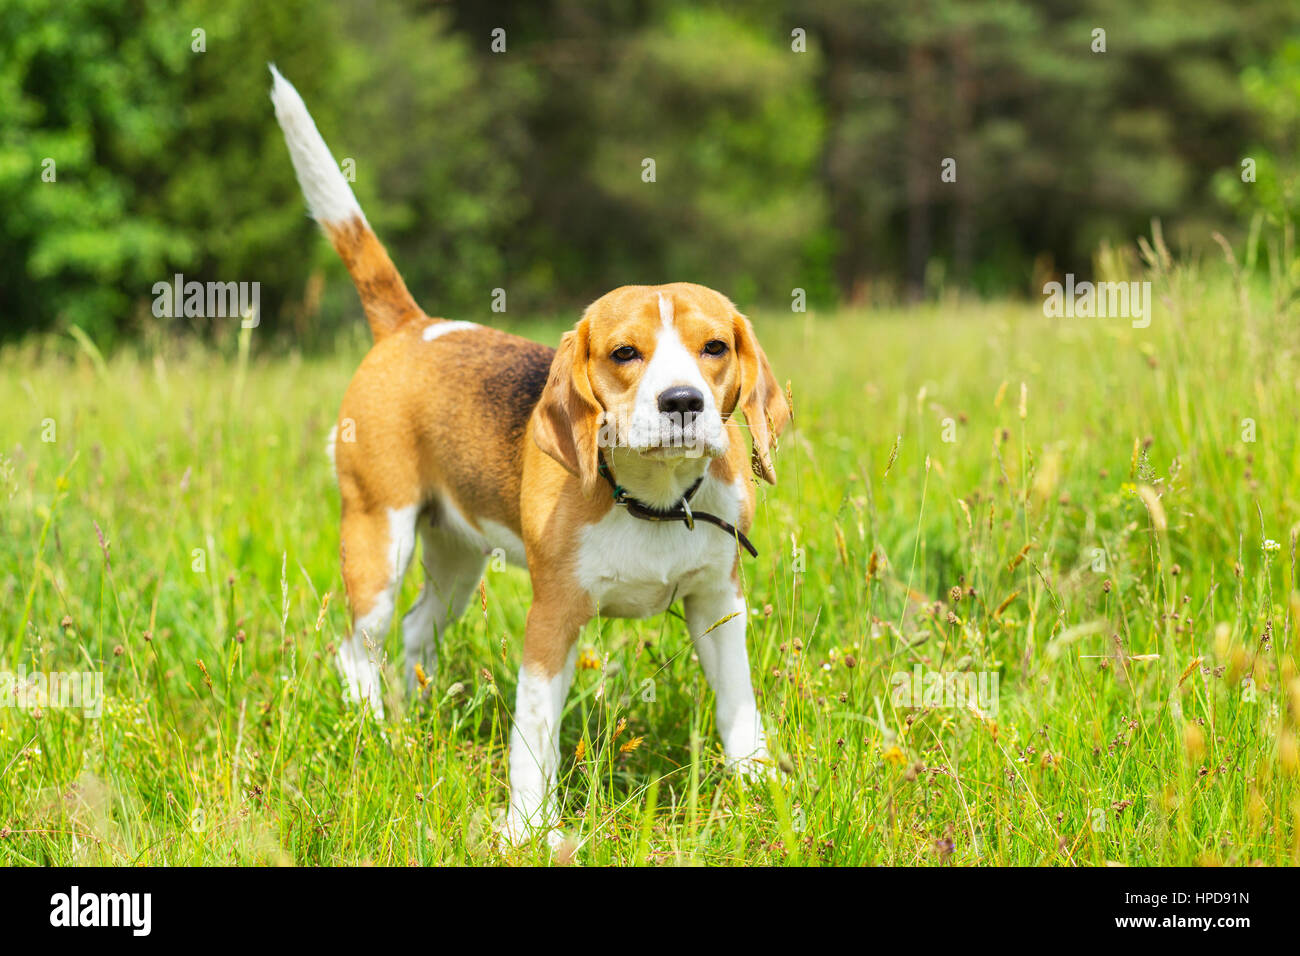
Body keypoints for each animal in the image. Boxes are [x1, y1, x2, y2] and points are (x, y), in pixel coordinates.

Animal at [269, 67, 785, 842]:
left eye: (714, 347)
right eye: (625, 353)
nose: (683, 402)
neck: (654, 499)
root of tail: (413, 326)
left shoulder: (719, 603)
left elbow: (738, 708)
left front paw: (760, 790)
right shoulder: (552, 619)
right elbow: (533, 737)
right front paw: (528, 828)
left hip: (456, 557)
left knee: (416, 633)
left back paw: (414, 722)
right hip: (377, 536)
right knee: (358, 650)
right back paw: (378, 736)